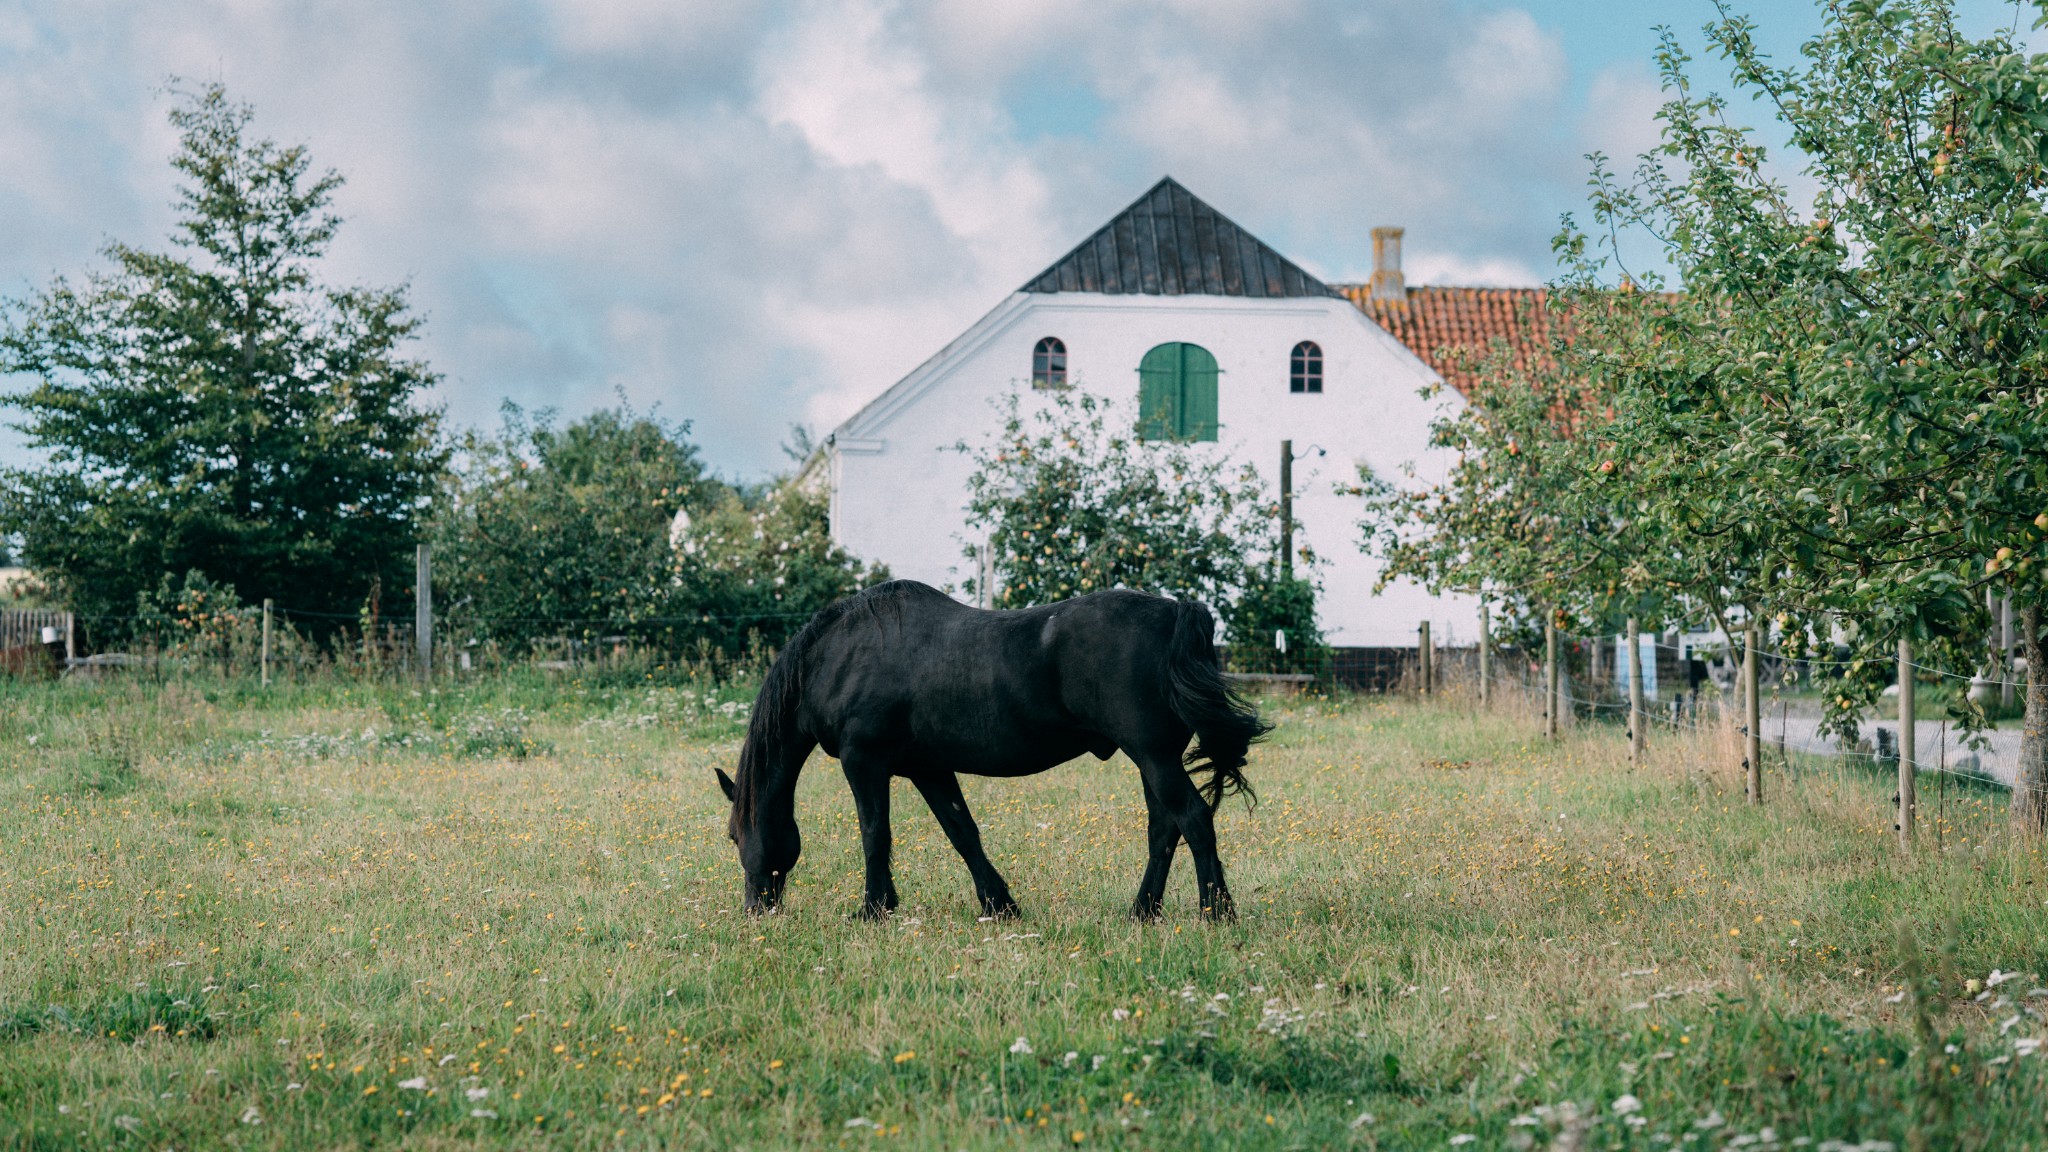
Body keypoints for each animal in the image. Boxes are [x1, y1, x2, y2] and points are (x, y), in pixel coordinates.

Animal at [716, 578, 1261, 918]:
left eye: (734, 835)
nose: (756, 909)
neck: (837, 657)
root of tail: (1175, 612)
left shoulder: (864, 762)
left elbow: (875, 835)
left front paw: (874, 909)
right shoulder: (928, 768)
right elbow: (963, 833)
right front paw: (999, 905)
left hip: (1154, 757)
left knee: (1193, 818)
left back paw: (1217, 913)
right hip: (1152, 761)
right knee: (1164, 829)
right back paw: (1143, 912)